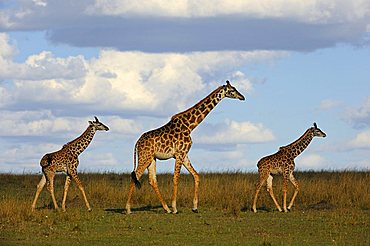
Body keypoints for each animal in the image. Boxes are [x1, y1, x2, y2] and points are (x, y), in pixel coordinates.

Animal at [125, 80, 246, 213]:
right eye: (233, 90)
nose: (242, 97)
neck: (190, 126)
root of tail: (137, 142)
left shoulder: (184, 154)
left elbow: (196, 176)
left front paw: (194, 207)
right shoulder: (180, 153)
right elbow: (176, 178)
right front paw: (175, 208)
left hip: (151, 158)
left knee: (152, 180)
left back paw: (166, 208)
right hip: (144, 157)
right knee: (135, 176)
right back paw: (128, 209)